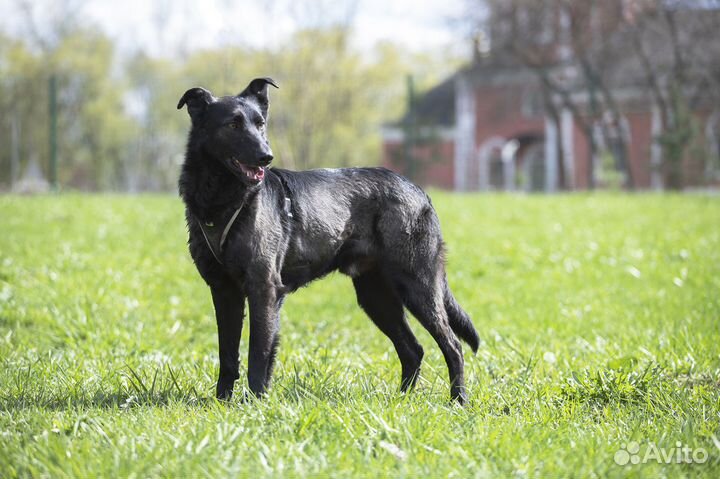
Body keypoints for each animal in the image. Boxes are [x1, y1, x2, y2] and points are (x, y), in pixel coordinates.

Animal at [177, 77, 478, 404]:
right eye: (233, 124)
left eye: (260, 124)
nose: (266, 157)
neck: (224, 199)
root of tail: (419, 191)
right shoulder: (224, 290)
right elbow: (228, 354)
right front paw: (222, 403)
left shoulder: (263, 289)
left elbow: (258, 353)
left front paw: (255, 403)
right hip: (377, 297)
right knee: (413, 349)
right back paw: (400, 400)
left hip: (418, 286)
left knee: (453, 345)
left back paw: (458, 400)